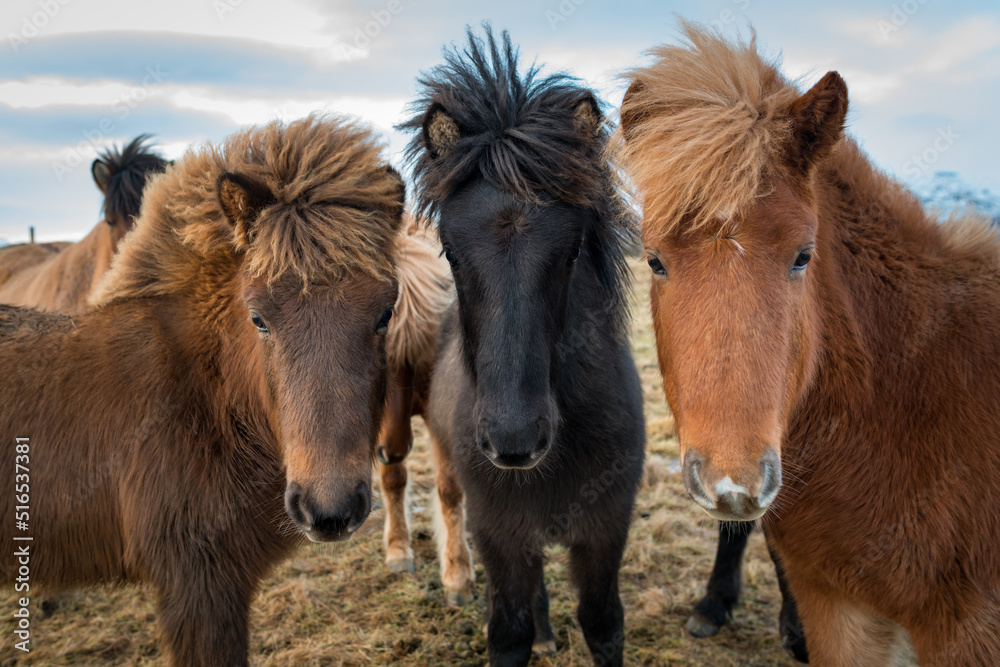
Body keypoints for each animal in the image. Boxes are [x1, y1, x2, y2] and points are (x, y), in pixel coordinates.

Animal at [401, 27, 645, 666]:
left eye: (571, 251)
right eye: (451, 252)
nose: (514, 442)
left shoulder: (605, 531)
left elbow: (603, 622)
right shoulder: (500, 534)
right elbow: (506, 629)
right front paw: (528, 632)